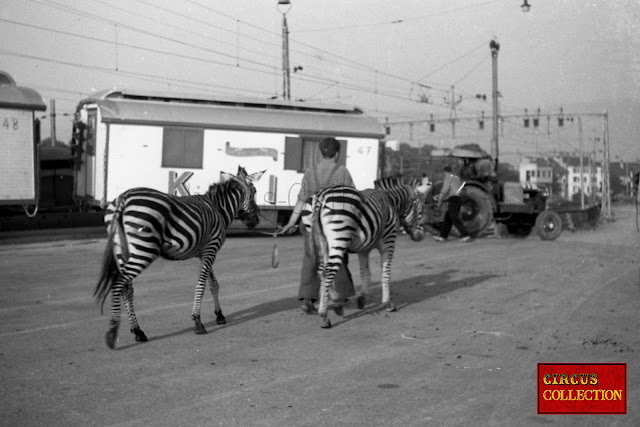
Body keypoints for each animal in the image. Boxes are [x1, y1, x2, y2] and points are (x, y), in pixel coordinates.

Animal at [94, 166, 264, 350]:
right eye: (254, 191)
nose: (255, 221)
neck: (219, 209)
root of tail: (123, 199)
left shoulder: (204, 252)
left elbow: (214, 285)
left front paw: (219, 315)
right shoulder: (211, 248)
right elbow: (201, 285)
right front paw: (197, 322)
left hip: (122, 250)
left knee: (126, 289)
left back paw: (138, 331)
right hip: (144, 249)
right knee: (118, 282)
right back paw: (112, 332)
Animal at [304, 176, 424, 330]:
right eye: (421, 211)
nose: (420, 237)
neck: (391, 202)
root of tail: (321, 196)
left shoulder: (364, 249)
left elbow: (365, 272)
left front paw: (361, 299)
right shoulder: (388, 242)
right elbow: (385, 274)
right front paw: (387, 304)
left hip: (320, 240)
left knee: (321, 271)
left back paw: (336, 305)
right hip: (339, 238)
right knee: (327, 272)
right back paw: (324, 316)